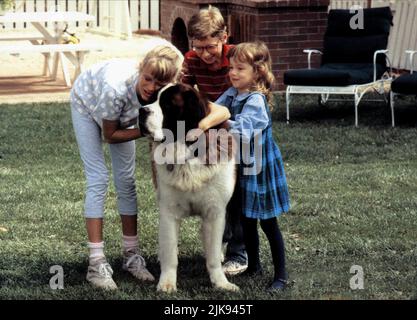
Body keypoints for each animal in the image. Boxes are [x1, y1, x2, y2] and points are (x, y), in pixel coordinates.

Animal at [139, 83, 239, 292]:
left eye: (168, 104)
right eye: (152, 99)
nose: (141, 110)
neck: (187, 153)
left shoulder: (215, 212)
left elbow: (213, 254)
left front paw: (221, 283)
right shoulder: (168, 211)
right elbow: (170, 253)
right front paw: (167, 283)